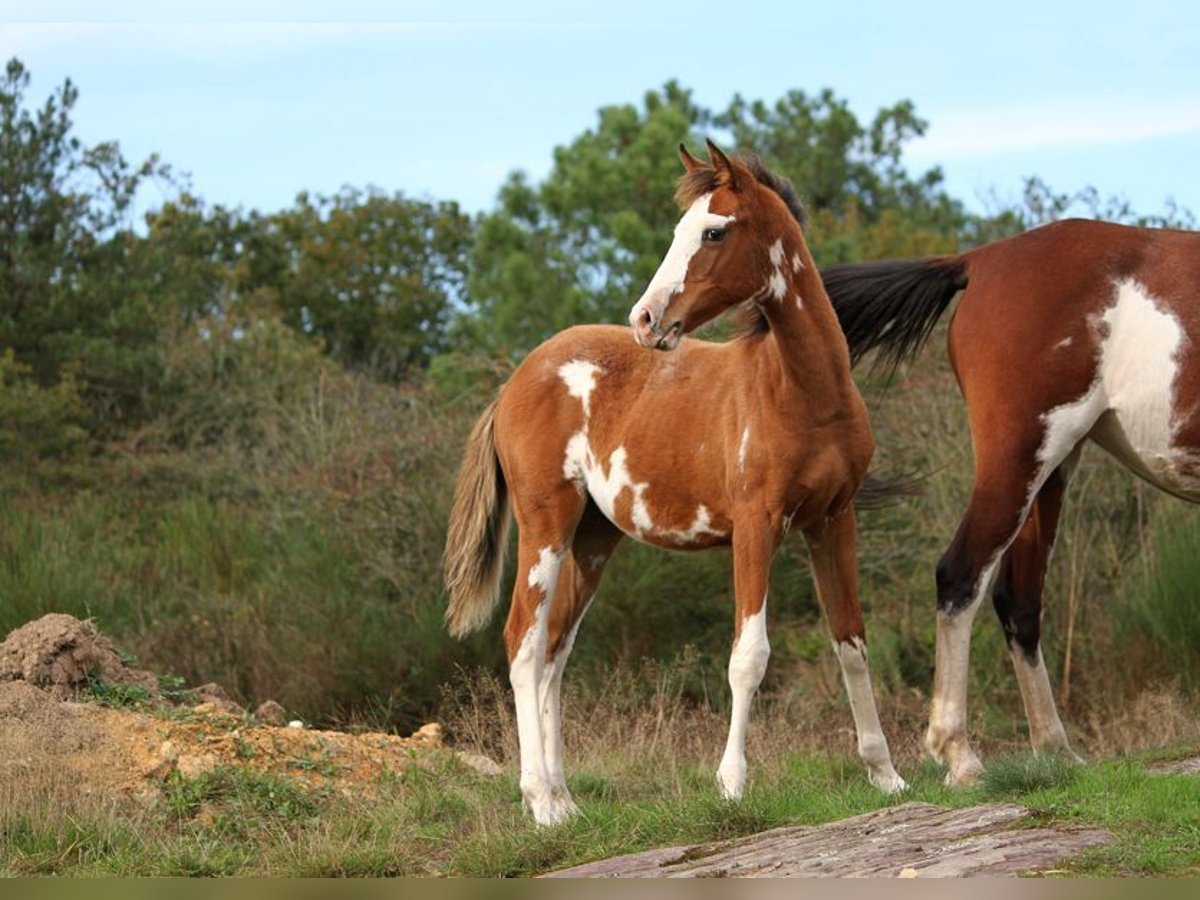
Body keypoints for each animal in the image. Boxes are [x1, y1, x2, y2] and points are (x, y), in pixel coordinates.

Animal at [446, 142, 902, 830]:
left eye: (713, 231)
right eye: (678, 230)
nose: (645, 318)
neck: (801, 393)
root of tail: (514, 382)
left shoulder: (834, 519)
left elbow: (851, 641)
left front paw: (886, 775)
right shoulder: (757, 524)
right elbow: (749, 654)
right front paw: (732, 785)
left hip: (592, 539)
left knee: (554, 650)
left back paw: (566, 800)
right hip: (546, 523)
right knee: (523, 643)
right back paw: (540, 805)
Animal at [820, 220, 1200, 787]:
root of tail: (980, 259)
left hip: (1048, 472)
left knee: (1018, 599)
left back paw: (1054, 748)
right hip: (1019, 459)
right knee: (961, 577)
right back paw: (960, 755)